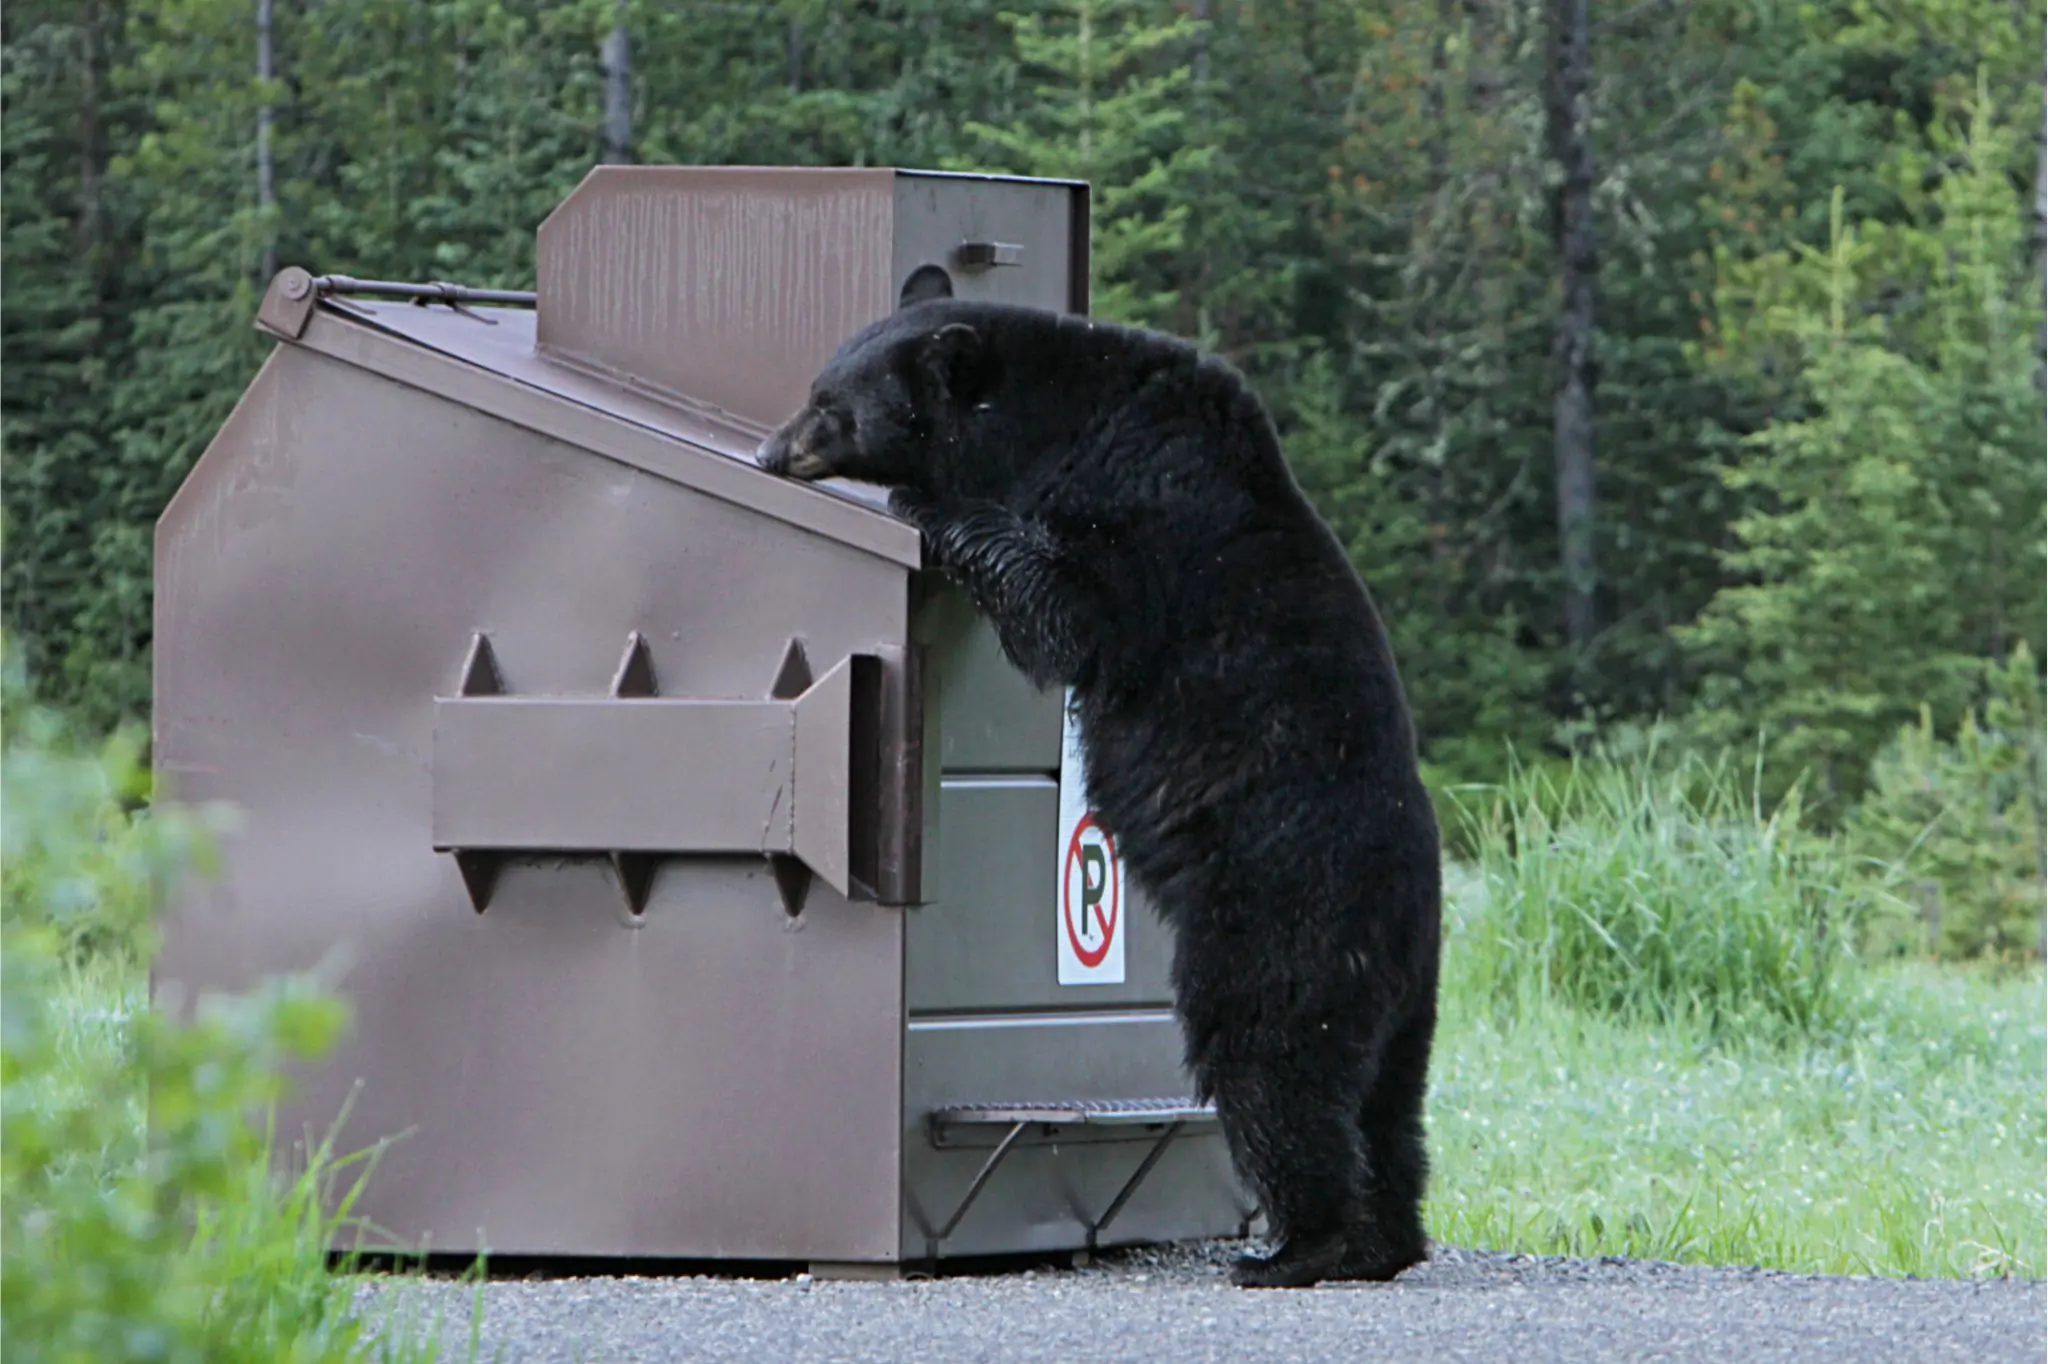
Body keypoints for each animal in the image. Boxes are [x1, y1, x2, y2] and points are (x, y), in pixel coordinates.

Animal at [757, 299, 1443, 1289]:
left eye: (829, 402)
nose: (771, 452)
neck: (1062, 421)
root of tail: (1403, 915)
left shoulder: (1142, 511)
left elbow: (1067, 615)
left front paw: (934, 507)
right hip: (1404, 999)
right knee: (1388, 1106)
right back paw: (1385, 1239)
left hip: (1280, 921)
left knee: (1273, 1062)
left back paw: (1299, 1245)